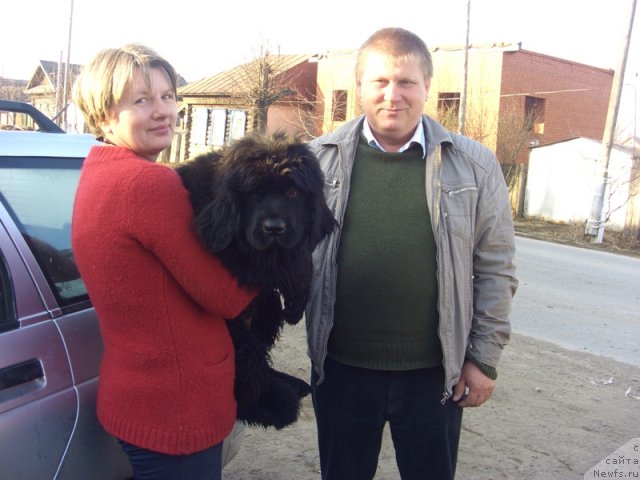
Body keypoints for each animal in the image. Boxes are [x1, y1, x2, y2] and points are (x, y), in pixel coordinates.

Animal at [175, 133, 336, 430]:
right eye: (254, 194)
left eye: (293, 193)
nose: (273, 228)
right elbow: (248, 354)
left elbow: (298, 259)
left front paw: (297, 299)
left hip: (266, 309)